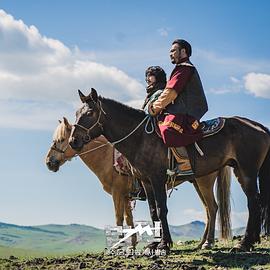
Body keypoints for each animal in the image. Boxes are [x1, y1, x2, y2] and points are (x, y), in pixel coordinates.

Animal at [45, 117, 231, 248]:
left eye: (61, 139)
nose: (48, 162)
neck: (106, 158)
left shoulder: (117, 194)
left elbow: (119, 218)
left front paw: (120, 245)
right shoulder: (127, 196)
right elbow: (129, 219)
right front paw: (132, 244)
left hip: (204, 182)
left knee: (212, 208)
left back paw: (207, 243)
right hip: (197, 183)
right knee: (208, 210)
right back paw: (202, 243)